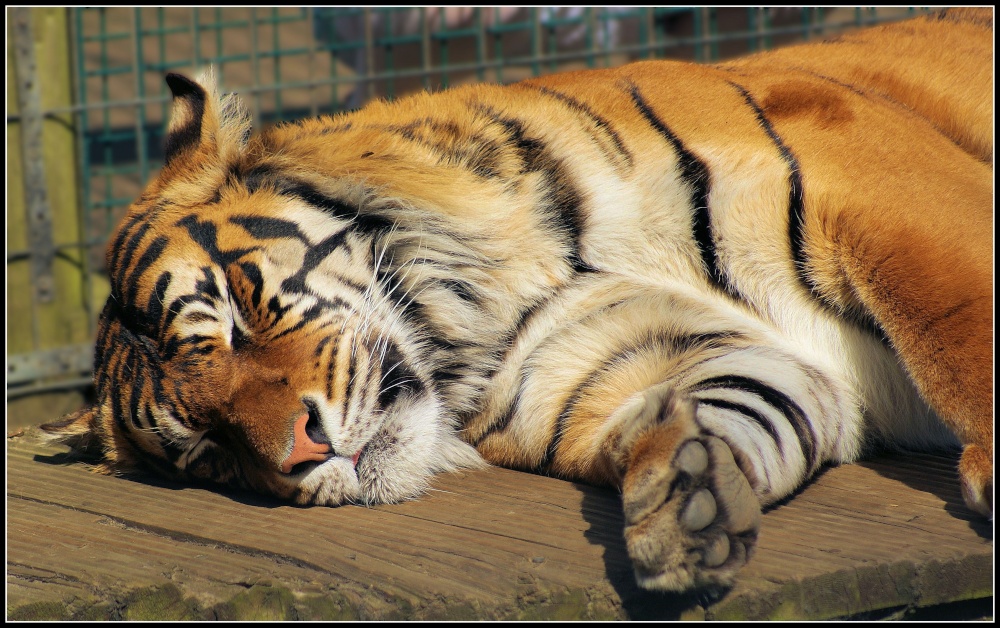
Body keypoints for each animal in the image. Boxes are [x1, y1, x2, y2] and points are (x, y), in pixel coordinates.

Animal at [42, 8, 992, 594]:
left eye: (242, 310)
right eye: (210, 450)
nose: (306, 455)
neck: (484, 313)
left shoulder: (869, 174)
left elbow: (956, 318)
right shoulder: (644, 358)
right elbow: (739, 405)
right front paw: (683, 499)